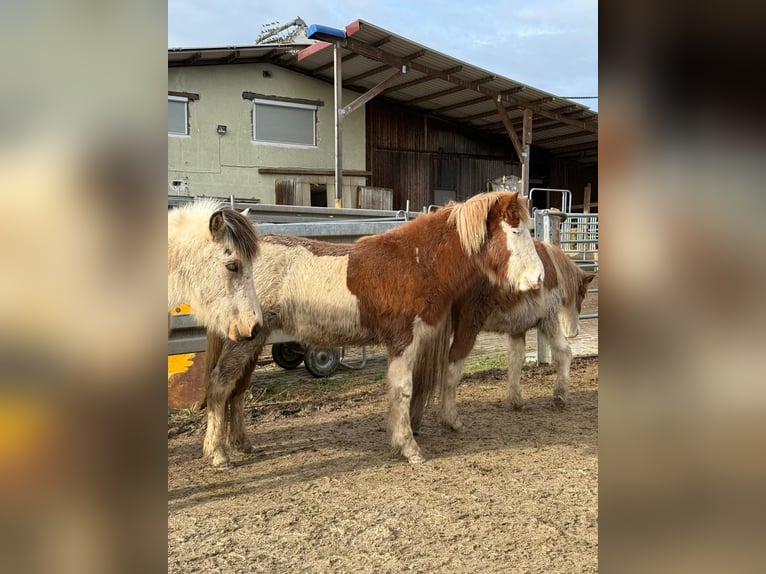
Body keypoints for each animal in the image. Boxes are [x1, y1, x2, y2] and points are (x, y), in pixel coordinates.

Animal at [202, 191, 545, 467]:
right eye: (515, 230)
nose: (538, 278)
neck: (417, 262)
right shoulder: (403, 340)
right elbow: (403, 390)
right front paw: (410, 449)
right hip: (244, 341)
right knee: (220, 384)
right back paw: (218, 454)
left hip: (253, 337)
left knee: (238, 389)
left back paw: (242, 445)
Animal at [409, 239, 596, 433]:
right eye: (583, 294)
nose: (574, 332)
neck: (552, 268)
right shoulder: (548, 320)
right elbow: (564, 352)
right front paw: (560, 395)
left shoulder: (517, 328)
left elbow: (516, 360)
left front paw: (515, 401)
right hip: (467, 329)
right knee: (452, 367)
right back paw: (451, 419)